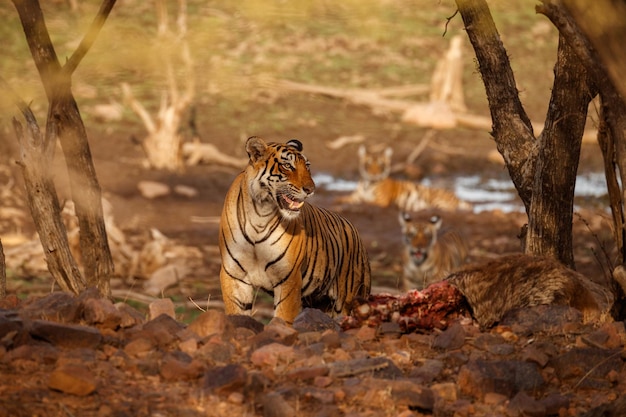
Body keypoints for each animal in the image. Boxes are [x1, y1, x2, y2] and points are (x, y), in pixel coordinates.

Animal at [218, 136, 370, 322]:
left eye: (308, 166)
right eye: (287, 166)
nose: (311, 190)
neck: (260, 215)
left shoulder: (288, 279)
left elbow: (282, 318)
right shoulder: (234, 276)